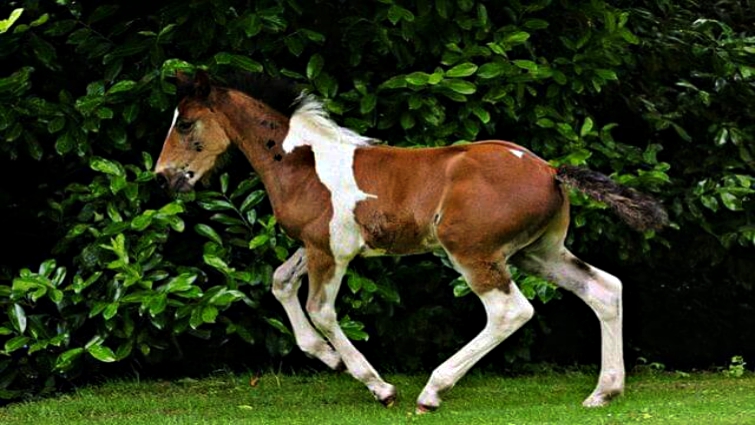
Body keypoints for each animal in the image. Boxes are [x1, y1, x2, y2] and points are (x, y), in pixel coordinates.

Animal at [155, 69, 668, 413]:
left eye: (185, 123)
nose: (163, 177)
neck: (301, 162)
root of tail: (550, 170)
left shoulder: (331, 251)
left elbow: (321, 310)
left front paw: (379, 386)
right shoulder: (315, 244)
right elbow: (281, 283)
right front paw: (327, 358)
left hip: (474, 252)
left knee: (510, 311)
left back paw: (432, 391)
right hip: (537, 252)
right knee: (604, 289)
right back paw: (604, 392)